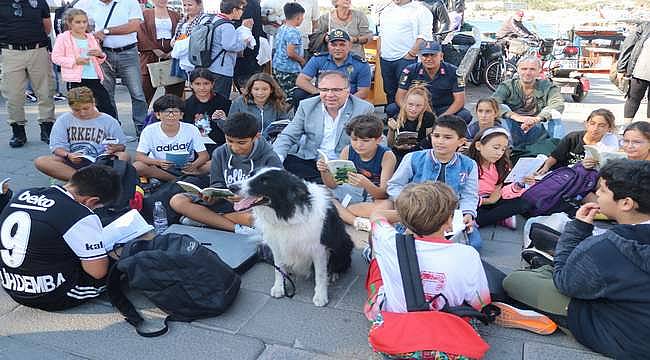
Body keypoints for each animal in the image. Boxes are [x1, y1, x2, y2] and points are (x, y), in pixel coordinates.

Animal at [232, 169, 354, 306]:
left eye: (264, 181)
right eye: (251, 174)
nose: (232, 187)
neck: (286, 214)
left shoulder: (318, 249)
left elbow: (320, 275)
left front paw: (320, 296)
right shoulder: (276, 246)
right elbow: (278, 269)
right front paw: (279, 288)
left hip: (345, 243)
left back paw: (333, 274)